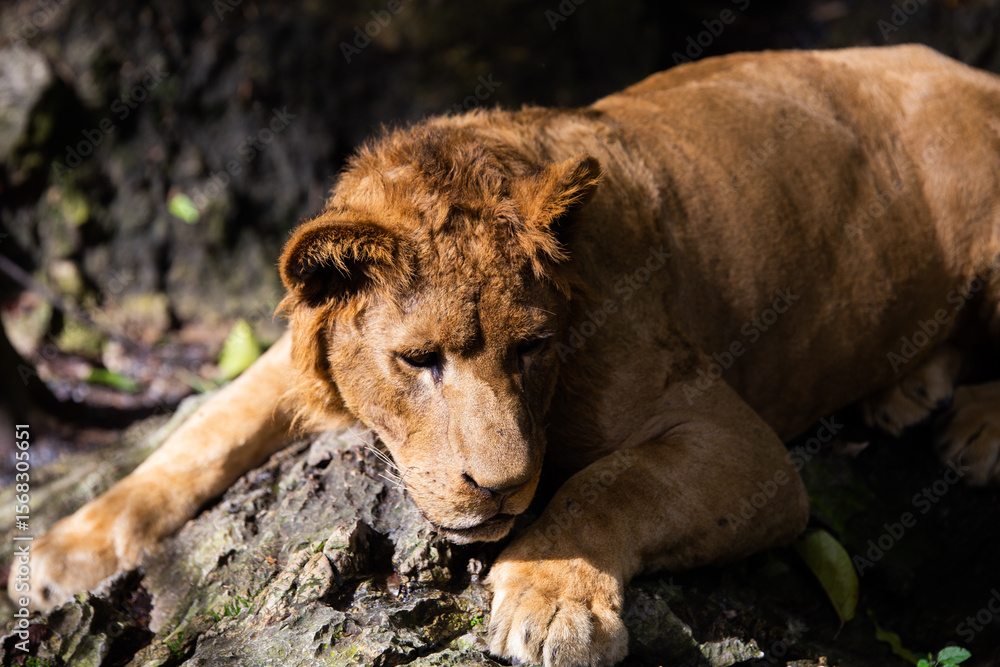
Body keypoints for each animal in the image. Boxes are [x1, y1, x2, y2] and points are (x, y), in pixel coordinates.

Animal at [12, 44, 1000, 667]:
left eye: (532, 346)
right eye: (417, 360)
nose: (501, 486)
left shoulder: (746, 449)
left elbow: (608, 482)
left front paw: (553, 600)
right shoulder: (292, 359)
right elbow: (205, 428)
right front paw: (61, 548)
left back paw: (972, 428)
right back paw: (909, 390)